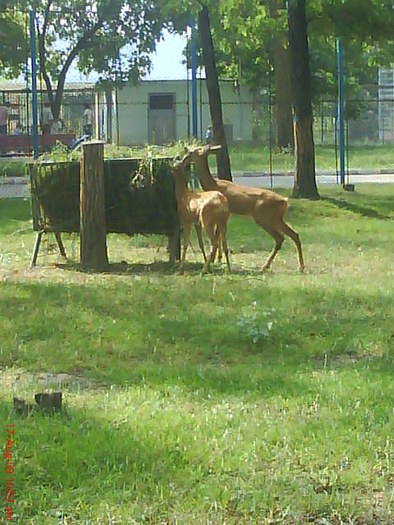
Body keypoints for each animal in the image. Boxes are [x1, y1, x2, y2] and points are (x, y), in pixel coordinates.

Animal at [184, 144, 304, 272]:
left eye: (193, 151)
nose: (185, 152)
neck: (213, 184)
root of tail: (284, 201)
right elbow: (220, 235)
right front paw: (218, 259)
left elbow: (217, 235)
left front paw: (214, 259)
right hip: (276, 218)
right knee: (294, 235)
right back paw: (300, 266)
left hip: (263, 217)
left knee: (280, 238)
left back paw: (265, 266)